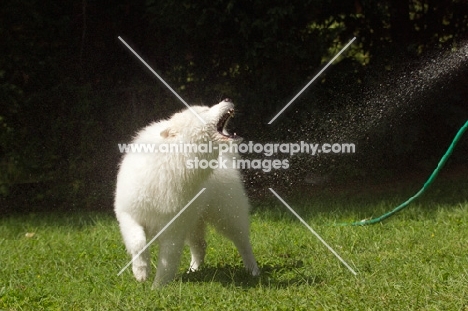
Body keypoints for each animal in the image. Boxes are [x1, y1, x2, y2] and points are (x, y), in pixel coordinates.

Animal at [114, 99, 260, 288]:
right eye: (203, 111)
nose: (227, 99)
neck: (172, 162)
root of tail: (226, 159)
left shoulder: (174, 231)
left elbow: (167, 263)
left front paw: (157, 288)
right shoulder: (129, 215)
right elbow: (138, 242)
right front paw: (141, 272)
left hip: (228, 217)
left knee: (243, 244)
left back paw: (253, 271)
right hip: (194, 222)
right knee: (200, 246)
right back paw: (193, 270)